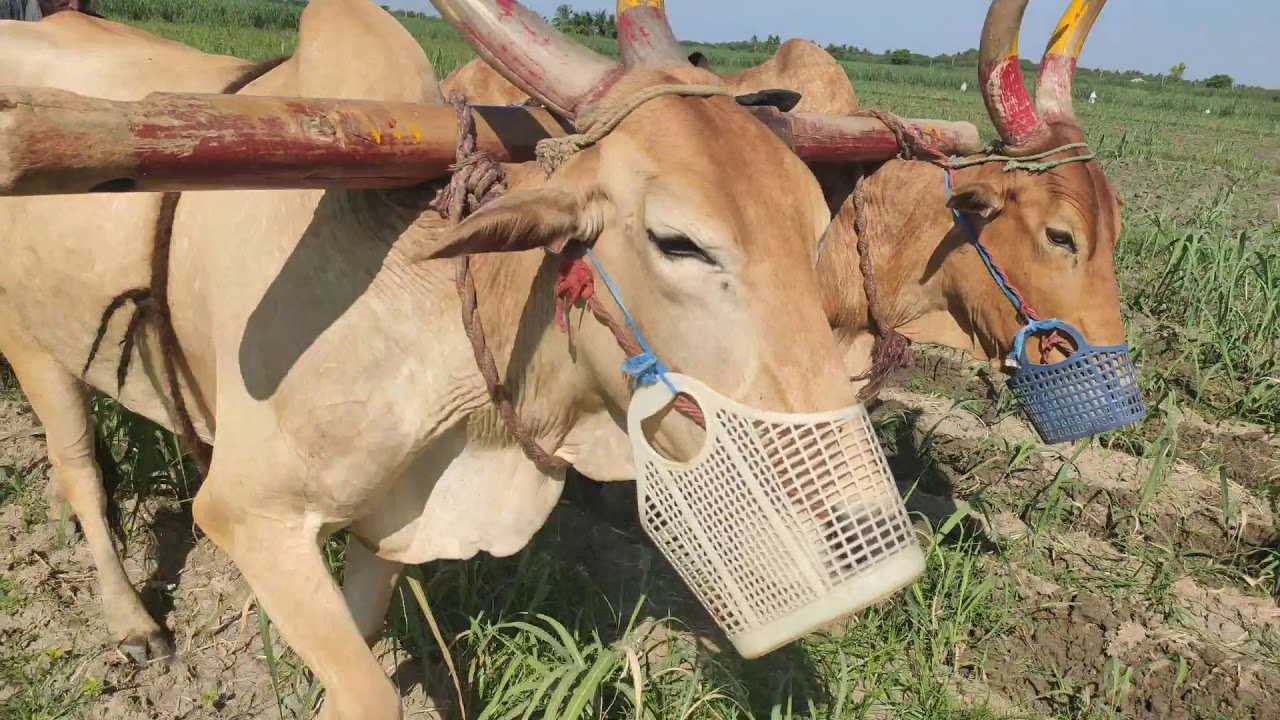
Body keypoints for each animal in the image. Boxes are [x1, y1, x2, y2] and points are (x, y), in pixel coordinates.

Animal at [0, 0, 878, 717]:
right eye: (679, 241)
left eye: (814, 228)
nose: (860, 520)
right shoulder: (250, 515)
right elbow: (371, 694)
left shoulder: (388, 521)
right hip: (33, 347)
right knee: (80, 470)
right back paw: (131, 622)